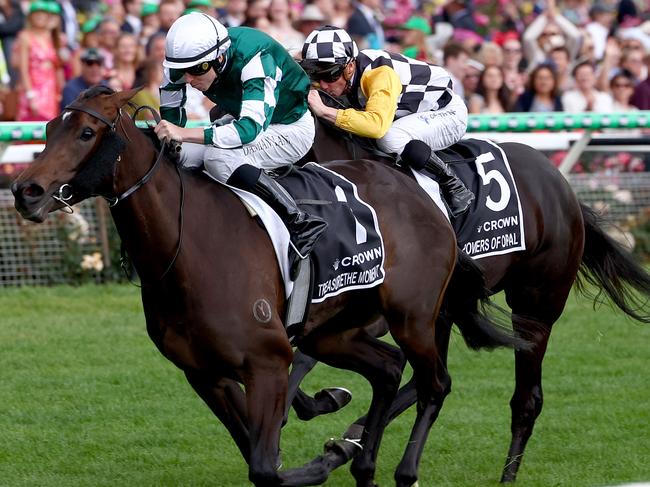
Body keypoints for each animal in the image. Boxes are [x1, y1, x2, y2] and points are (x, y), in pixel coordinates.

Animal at [11, 87, 528, 487]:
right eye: (47, 130)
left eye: (85, 132)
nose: (25, 191)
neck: (188, 244)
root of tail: (424, 194)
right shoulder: (205, 373)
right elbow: (256, 454)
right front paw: (330, 443)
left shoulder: (267, 362)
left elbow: (265, 467)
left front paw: (322, 458)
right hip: (334, 329)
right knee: (386, 369)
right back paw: (361, 461)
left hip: (411, 316)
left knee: (434, 383)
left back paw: (401, 469)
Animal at [290, 111, 650, 484]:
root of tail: (564, 188)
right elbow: (301, 357)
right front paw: (324, 409)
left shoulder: (376, 312)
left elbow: (303, 357)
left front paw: (327, 412)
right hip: (446, 311)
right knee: (432, 379)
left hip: (535, 306)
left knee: (524, 397)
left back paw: (507, 474)